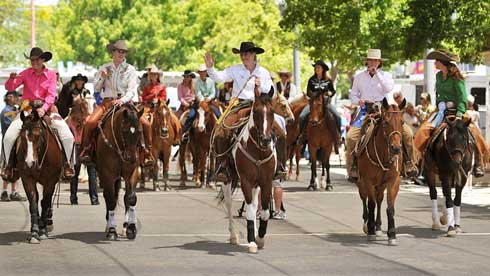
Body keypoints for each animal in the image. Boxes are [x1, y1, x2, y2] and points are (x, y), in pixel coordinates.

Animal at [17, 110, 63, 244]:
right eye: (22, 136)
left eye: (38, 136)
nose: (29, 163)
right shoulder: (27, 179)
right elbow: (33, 203)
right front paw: (34, 233)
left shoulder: (50, 181)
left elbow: (45, 202)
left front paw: (42, 232)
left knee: (46, 202)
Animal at [94, 103, 144, 239]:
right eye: (125, 130)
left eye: (139, 130)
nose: (131, 158)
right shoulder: (107, 174)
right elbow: (111, 200)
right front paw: (112, 230)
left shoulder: (132, 172)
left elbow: (131, 198)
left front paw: (131, 228)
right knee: (109, 196)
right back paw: (109, 225)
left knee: (123, 197)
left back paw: (125, 225)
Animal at [221, 89, 278, 253]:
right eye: (256, 112)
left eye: (272, 111)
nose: (265, 139)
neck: (259, 151)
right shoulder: (246, 181)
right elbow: (250, 211)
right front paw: (252, 241)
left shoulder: (266, 182)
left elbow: (264, 212)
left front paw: (260, 238)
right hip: (228, 180)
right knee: (229, 203)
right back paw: (233, 236)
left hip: (256, 185)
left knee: (254, 204)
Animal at [356, 98, 406, 245]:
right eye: (386, 122)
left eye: (402, 122)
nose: (396, 148)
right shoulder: (368, 181)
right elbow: (371, 204)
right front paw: (371, 231)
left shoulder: (393, 181)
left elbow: (390, 208)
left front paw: (392, 234)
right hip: (362, 183)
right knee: (365, 199)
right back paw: (367, 224)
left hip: (381, 185)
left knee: (379, 200)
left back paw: (378, 227)